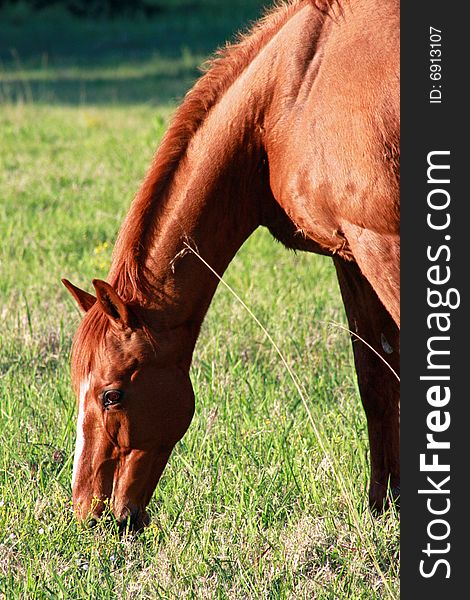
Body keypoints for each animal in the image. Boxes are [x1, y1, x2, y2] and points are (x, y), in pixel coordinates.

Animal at [63, 0, 400, 528]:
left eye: (111, 395)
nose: (89, 513)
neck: (291, 96)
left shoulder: (383, 244)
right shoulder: (352, 256)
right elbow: (378, 380)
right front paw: (384, 508)